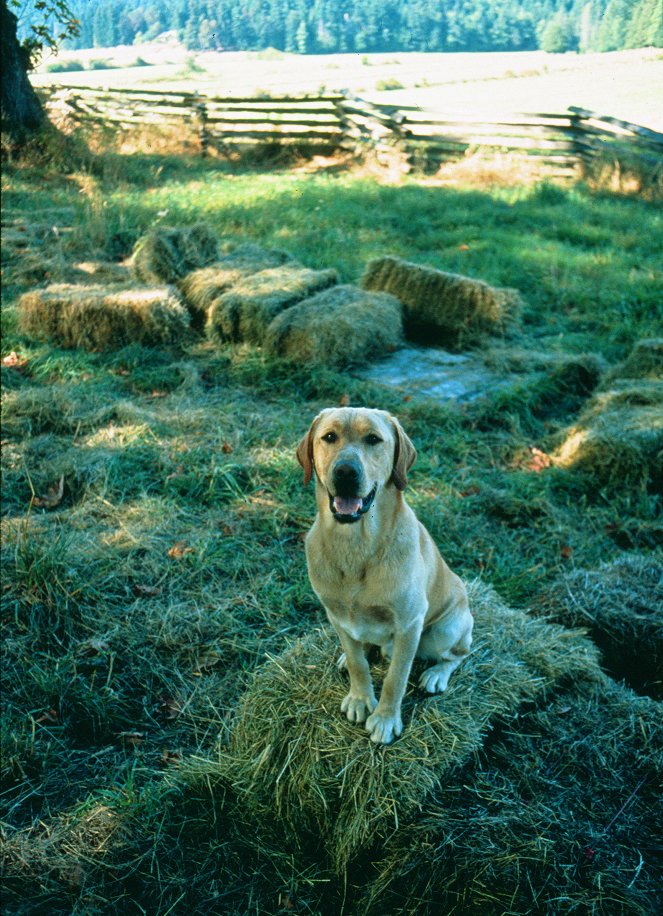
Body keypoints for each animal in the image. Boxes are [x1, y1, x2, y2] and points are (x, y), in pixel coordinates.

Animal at [298, 408, 474, 744]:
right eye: (329, 437)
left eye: (373, 439)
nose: (345, 472)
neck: (355, 545)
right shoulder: (337, 616)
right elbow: (358, 664)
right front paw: (360, 698)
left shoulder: (409, 624)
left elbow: (396, 678)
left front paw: (384, 719)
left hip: (445, 630)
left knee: (460, 654)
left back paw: (436, 674)